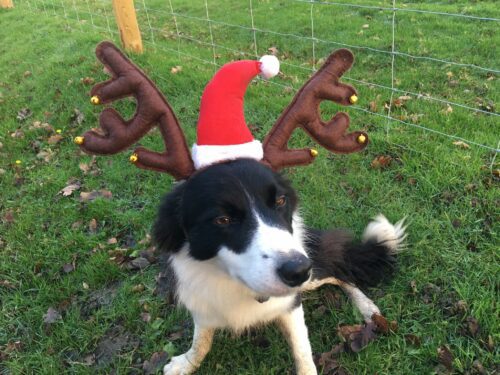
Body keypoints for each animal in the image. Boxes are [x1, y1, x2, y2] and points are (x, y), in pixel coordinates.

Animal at [153, 159, 406, 375]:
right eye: (222, 219)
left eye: (280, 202)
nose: (298, 270)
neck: (235, 283)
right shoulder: (203, 302)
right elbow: (201, 341)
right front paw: (187, 363)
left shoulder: (291, 303)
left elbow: (302, 351)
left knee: (339, 270)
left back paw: (367, 308)